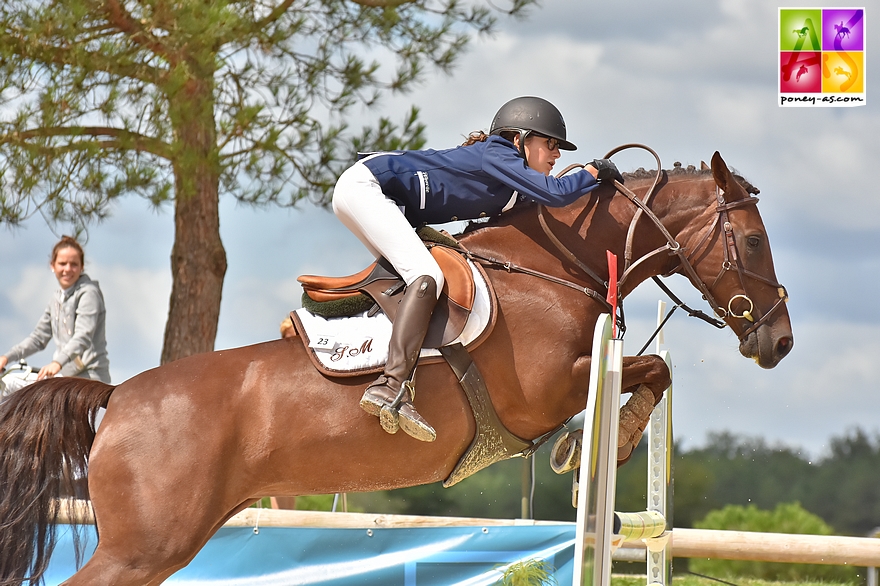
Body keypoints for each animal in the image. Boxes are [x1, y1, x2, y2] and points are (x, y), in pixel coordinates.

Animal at [0, 149, 796, 580]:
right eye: (756, 241)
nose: (781, 342)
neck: (550, 268)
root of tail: (115, 397)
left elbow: (653, 373)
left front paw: (594, 445)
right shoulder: (542, 391)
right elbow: (649, 370)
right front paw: (601, 442)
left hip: (171, 541)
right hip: (143, 548)